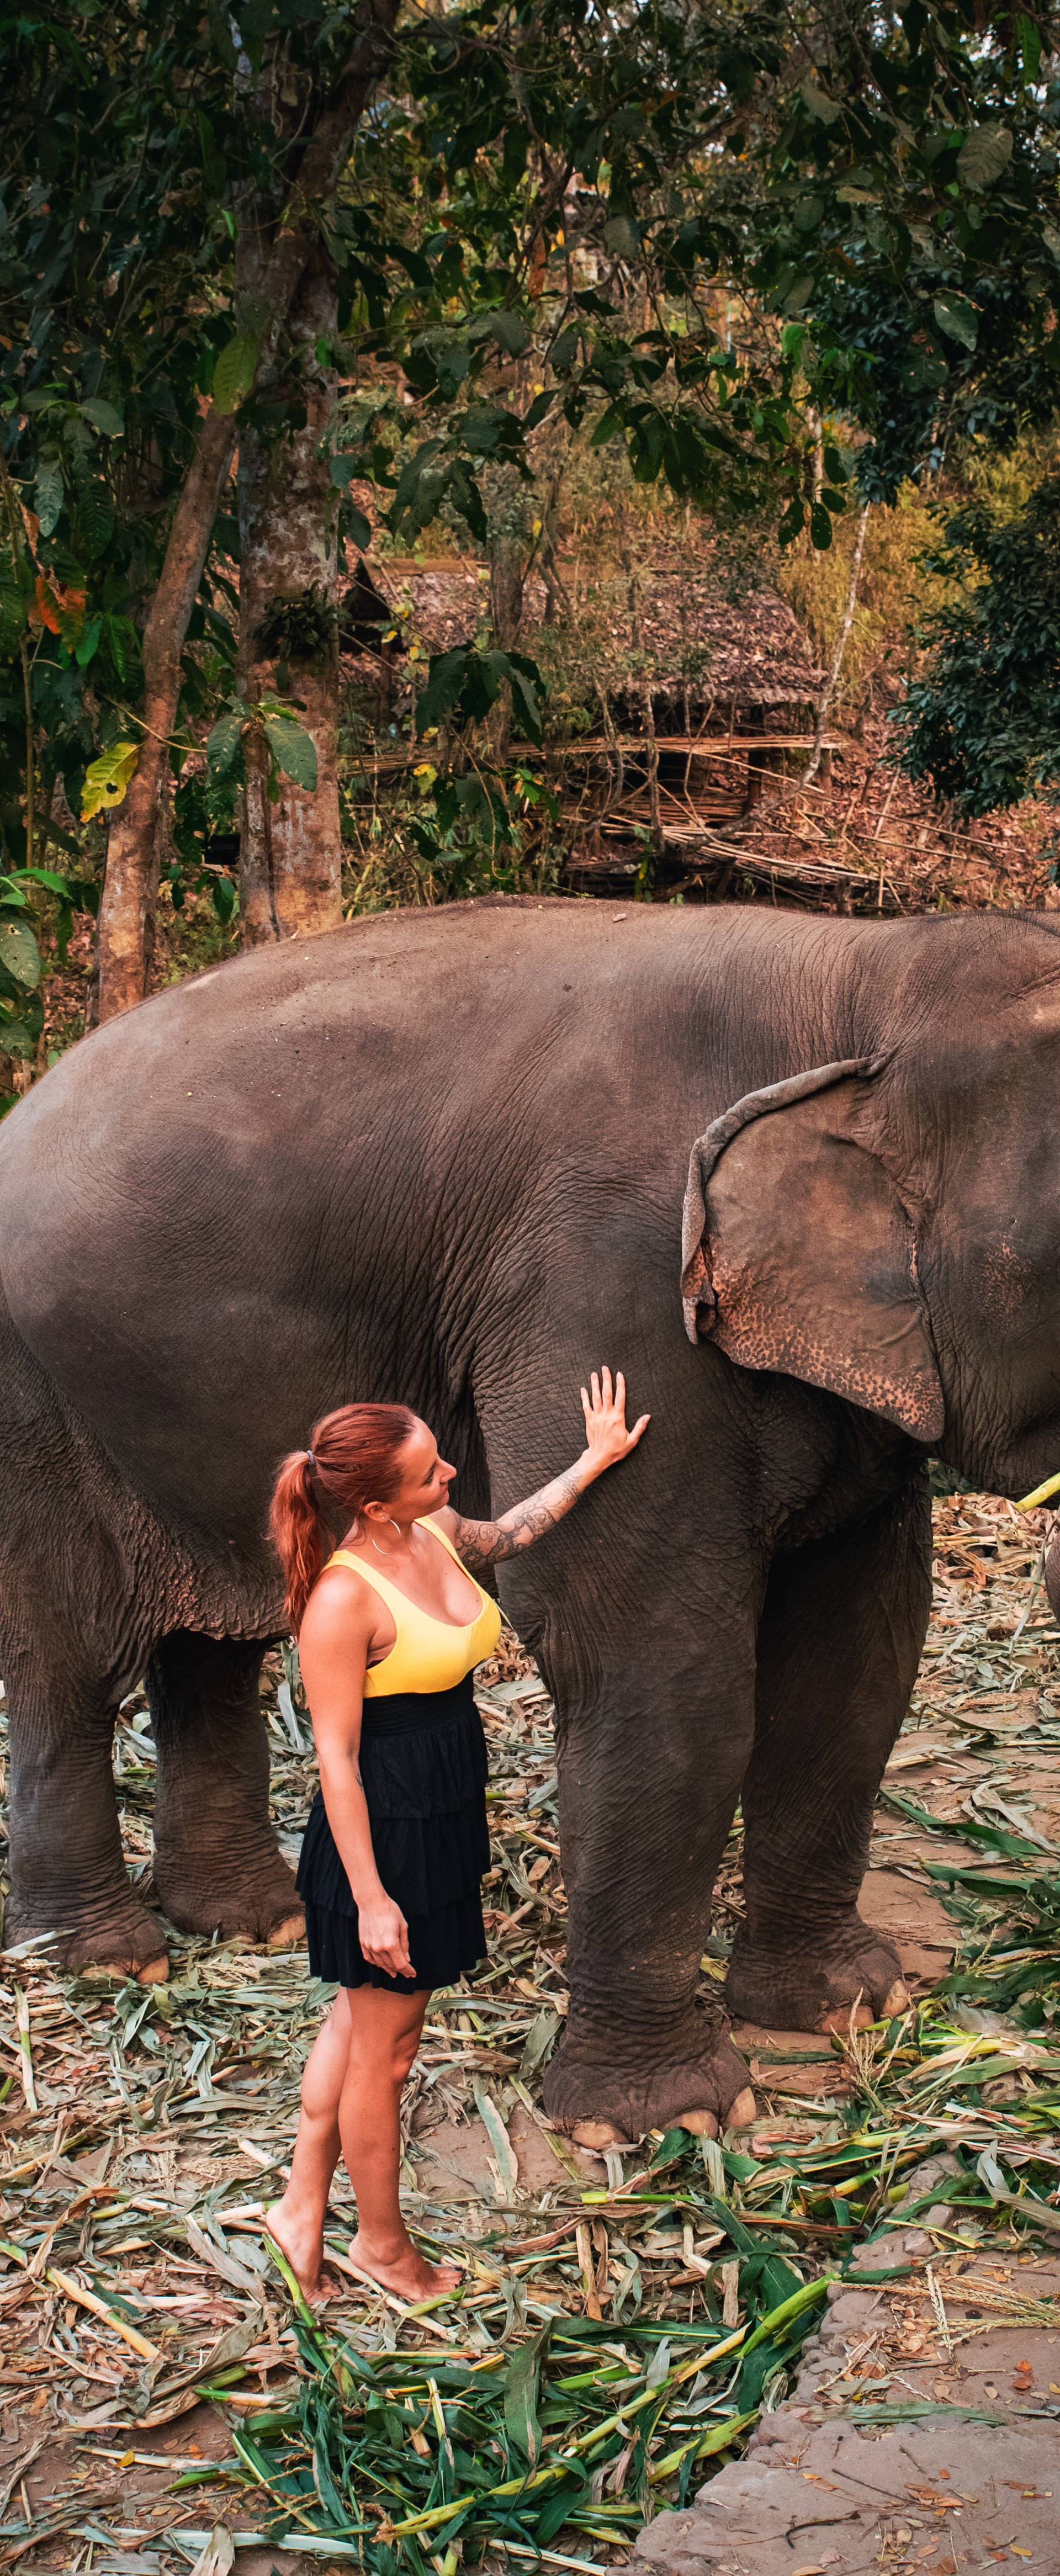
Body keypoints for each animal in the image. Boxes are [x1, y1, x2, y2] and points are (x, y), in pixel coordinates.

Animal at [2, 896, 1060, 2143]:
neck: (865, 977)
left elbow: (859, 1653)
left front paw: (850, 2005)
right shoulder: (613, 1292)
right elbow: (655, 1663)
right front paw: (660, 2124)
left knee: (217, 1641)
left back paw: (251, 1922)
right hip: (33, 1400)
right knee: (68, 1661)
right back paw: (105, 1958)